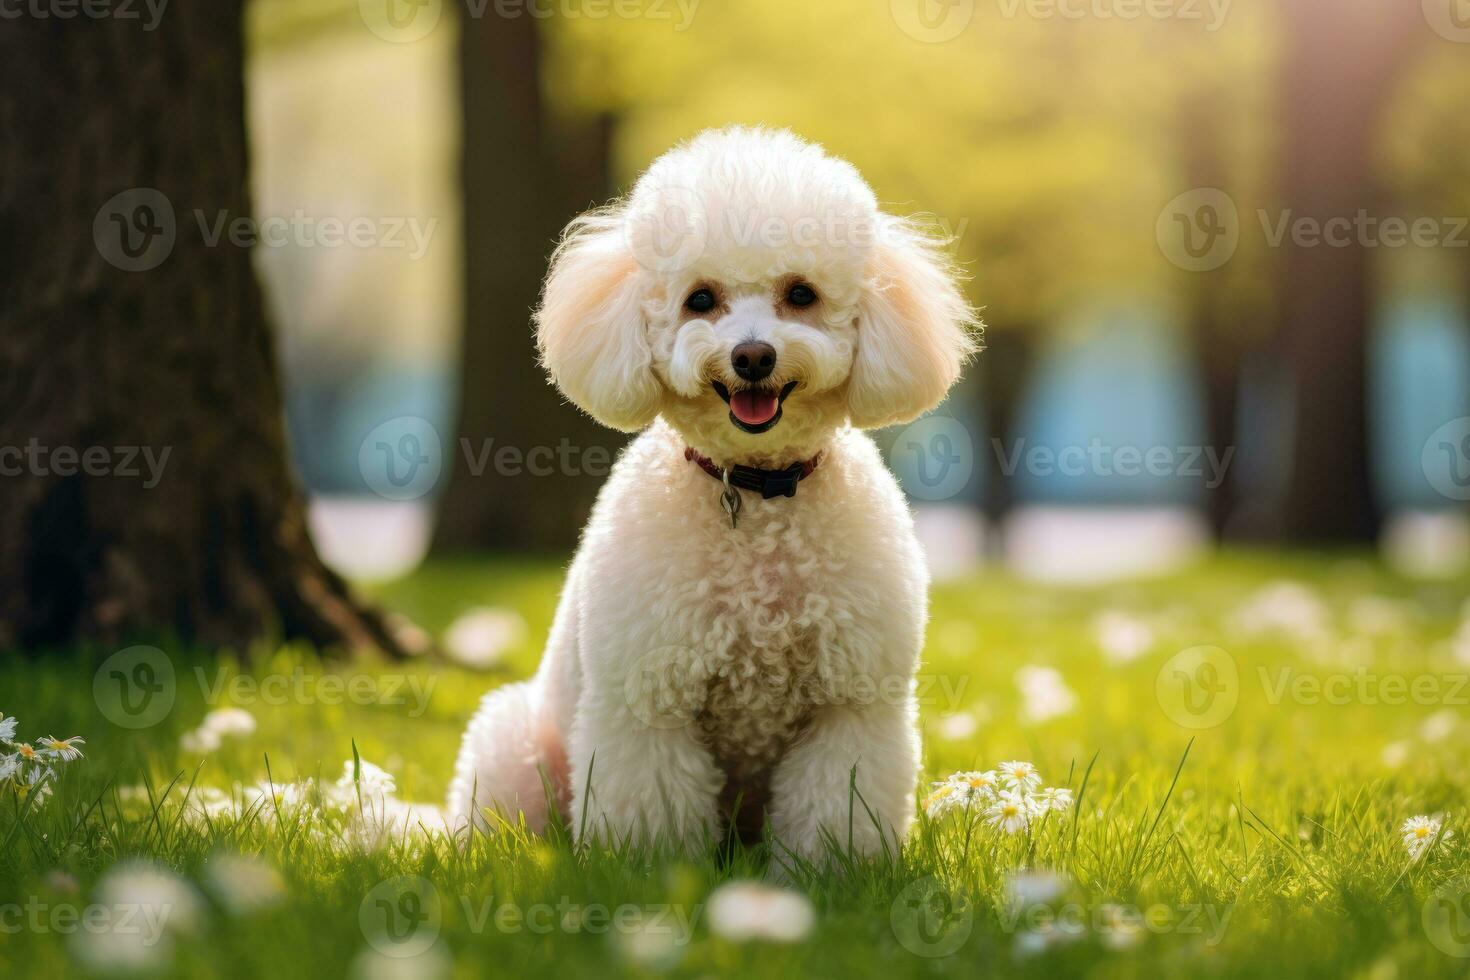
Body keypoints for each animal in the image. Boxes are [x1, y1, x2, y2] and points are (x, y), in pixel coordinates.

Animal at [446, 124, 976, 858]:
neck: (753, 492)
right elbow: (654, 810)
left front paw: (830, 872)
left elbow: (834, 807)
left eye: (801, 293)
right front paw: (650, 868)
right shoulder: (646, 701)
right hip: (511, 743)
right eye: (700, 299)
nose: (753, 356)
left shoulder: (852, 704)